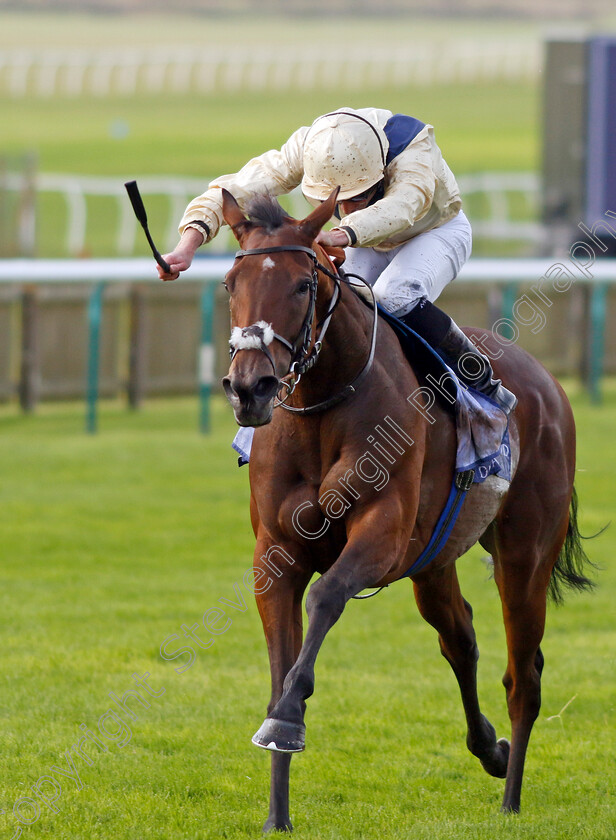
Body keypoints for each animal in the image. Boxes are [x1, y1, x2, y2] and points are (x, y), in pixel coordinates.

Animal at [220, 187, 592, 832]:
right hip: (434, 561)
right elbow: (278, 664)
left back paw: (511, 797)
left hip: (525, 553)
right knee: (459, 638)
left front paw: (288, 719)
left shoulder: (383, 533)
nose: (251, 388)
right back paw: (490, 749)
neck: (324, 404)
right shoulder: (276, 554)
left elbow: (326, 597)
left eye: (302, 284)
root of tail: (548, 385)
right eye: (230, 282)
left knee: (524, 676)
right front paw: (276, 814)